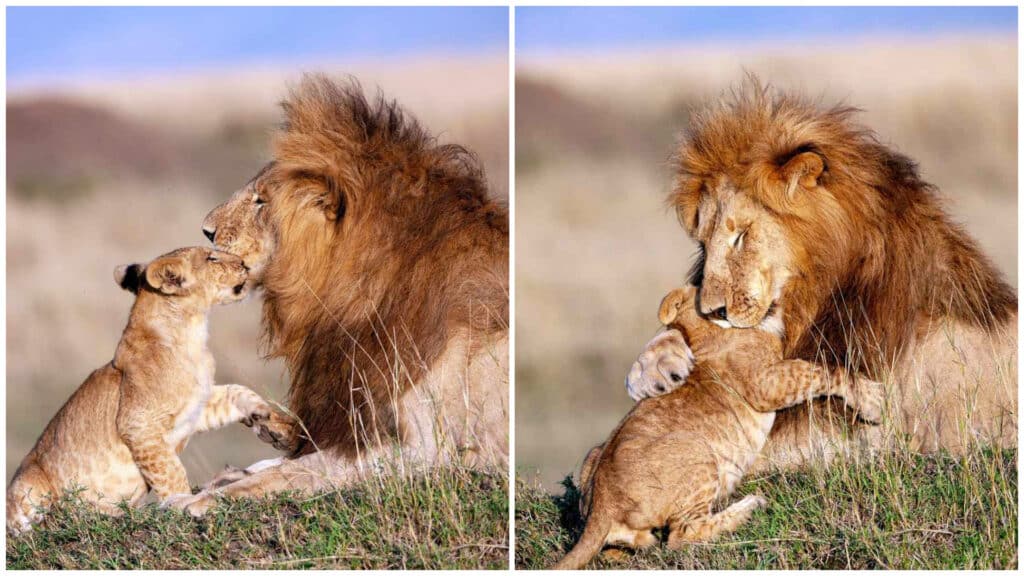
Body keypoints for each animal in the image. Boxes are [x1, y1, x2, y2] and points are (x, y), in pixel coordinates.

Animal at [180, 75, 512, 510]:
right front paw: (234, 471)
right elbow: (293, 461)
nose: (206, 231)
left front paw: (205, 499)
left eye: (261, 202)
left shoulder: (427, 449)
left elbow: (304, 470)